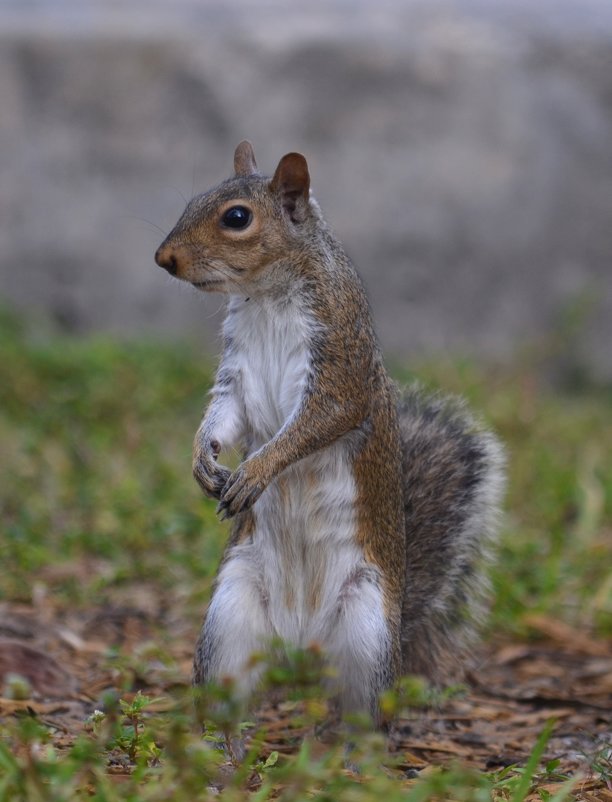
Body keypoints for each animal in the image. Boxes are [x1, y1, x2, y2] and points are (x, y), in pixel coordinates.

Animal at [155, 141, 504, 720]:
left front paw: (258, 471)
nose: (165, 259)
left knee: (359, 717)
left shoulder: (339, 362)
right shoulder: (237, 372)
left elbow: (319, 422)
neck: (268, 296)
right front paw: (203, 459)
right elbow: (226, 413)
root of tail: (302, 644)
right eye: (192, 201)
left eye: (236, 218)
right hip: (231, 613)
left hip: (366, 627)